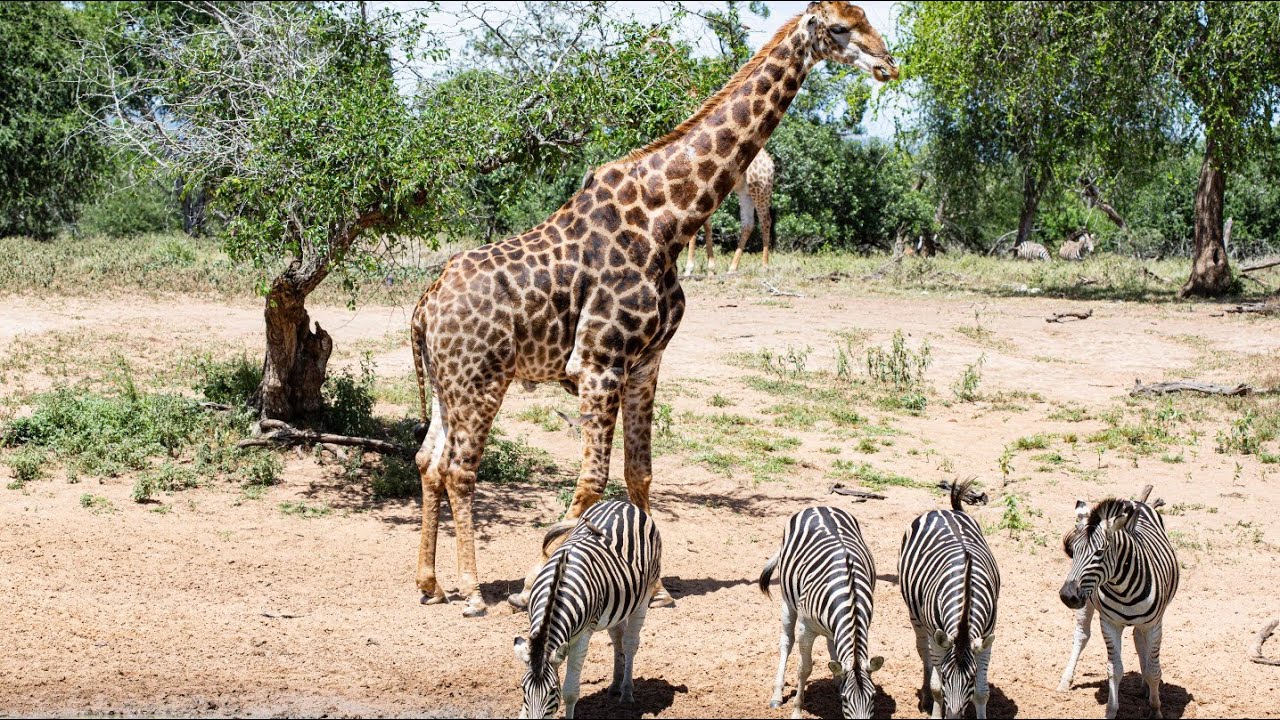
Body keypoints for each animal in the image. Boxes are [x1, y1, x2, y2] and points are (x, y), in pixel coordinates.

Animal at [513, 500, 662, 719]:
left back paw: (626, 692)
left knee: (630, 642)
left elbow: (570, 691)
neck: (556, 591)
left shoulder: (582, 637)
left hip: (646, 593)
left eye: (552, 691)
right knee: (617, 637)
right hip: (616, 605)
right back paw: (615, 685)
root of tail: (623, 503)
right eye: (523, 689)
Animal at [683, 148, 776, 277]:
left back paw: (764, 266)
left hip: (760, 189)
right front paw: (710, 269)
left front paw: (689, 269)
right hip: (744, 192)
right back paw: (732, 268)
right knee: (748, 224)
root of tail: (770, 163)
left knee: (765, 221)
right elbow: (706, 225)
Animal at [759, 506, 883, 719]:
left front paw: (838, 681)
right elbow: (804, 669)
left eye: (873, 696)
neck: (849, 592)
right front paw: (797, 710)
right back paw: (777, 695)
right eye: (846, 699)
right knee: (786, 642)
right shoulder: (805, 629)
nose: (841, 695)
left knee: (831, 645)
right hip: (787, 601)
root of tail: (819, 507)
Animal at [898, 481, 1000, 719]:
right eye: (945, 676)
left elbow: (982, 693)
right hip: (916, 617)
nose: (954, 716)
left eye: (971, 678)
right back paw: (925, 698)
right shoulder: (938, 638)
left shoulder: (986, 638)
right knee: (923, 653)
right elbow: (937, 688)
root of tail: (945, 511)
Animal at [1059, 497, 1178, 719]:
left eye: (1099, 552)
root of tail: (1135, 500)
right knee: (1081, 635)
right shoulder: (1109, 624)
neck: (1124, 590)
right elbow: (1114, 669)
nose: (1067, 596)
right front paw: (1111, 710)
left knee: (1139, 640)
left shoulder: (1154, 625)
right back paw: (1065, 680)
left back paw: (1145, 686)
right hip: (1087, 602)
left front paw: (1155, 708)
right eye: (1074, 551)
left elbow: (1154, 671)